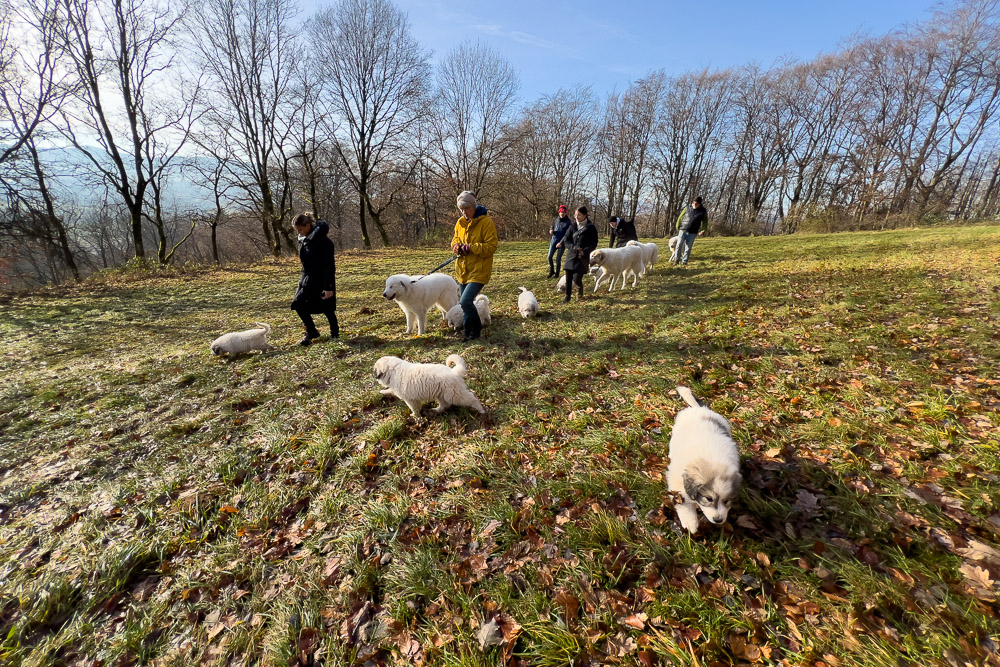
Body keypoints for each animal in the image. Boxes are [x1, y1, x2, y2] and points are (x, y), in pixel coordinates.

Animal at [664, 386, 744, 532]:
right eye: (708, 498)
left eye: (726, 501)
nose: (718, 520)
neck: (712, 461)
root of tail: (700, 410)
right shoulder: (677, 481)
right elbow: (683, 502)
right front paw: (690, 523)